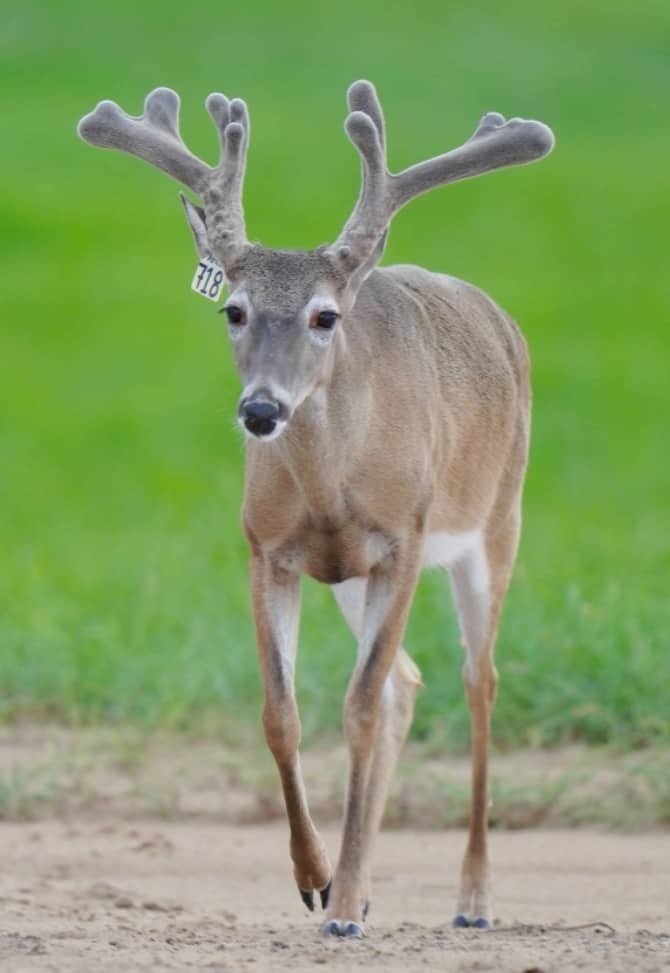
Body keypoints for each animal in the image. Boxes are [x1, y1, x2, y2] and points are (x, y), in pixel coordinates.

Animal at [77, 80, 554, 938]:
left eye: (324, 317)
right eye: (231, 310)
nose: (261, 410)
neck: (334, 491)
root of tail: (497, 316)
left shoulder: (404, 539)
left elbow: (357, 706)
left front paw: (343, 902)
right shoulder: (268, 550)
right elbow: (283, 713)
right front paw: (318, 879)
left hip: (497, 520)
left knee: (480, 677)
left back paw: (472, 898)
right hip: (353, 579)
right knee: (408, 681)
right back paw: (359, 889)